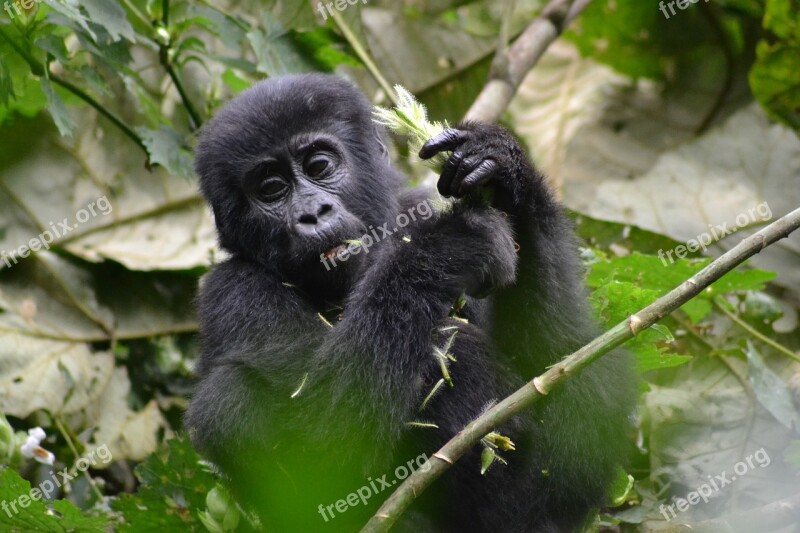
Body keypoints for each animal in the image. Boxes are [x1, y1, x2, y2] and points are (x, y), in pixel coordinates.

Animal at [186, 72, 636, 528]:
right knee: (226, 397)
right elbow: (322, 448)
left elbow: (580, 376)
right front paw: (447, 247)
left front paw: (506, 171)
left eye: (319, 167)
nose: (312, 213)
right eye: (272, 189)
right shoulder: (232, 290)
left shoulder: (416, 205)